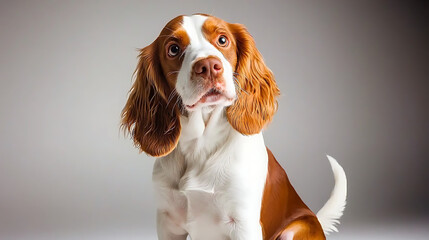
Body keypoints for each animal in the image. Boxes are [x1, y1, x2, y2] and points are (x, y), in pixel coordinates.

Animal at [121, 14, 348, 239]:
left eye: (222, 40)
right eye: (173, 49)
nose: (209, 66)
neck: (200, 146)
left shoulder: (244, 223)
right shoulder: (168, 222)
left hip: (296, 228)